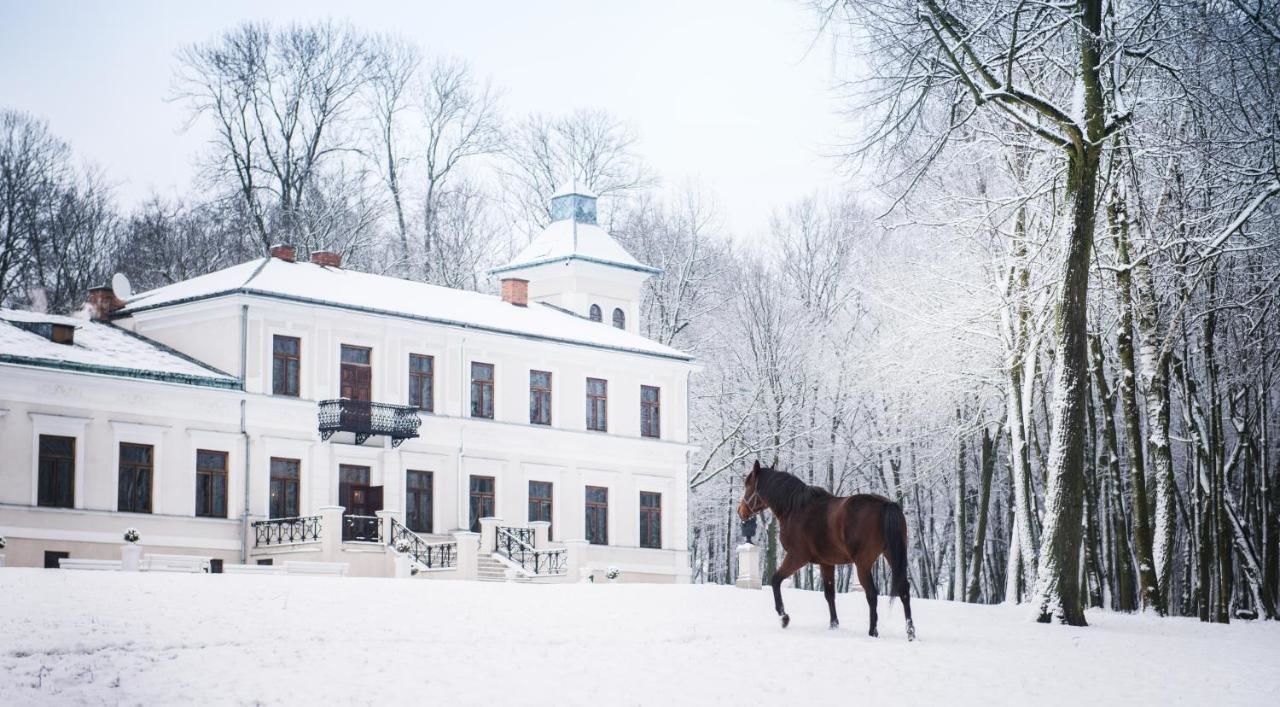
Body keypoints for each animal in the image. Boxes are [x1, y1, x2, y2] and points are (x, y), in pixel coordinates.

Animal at [737, 461, 916, 637]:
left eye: (748, 485)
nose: (741, 511)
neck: (794, 508)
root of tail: (885, 504)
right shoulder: (826, 563)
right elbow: (829, 594)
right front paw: (834, 625)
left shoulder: (797, 557)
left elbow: (775, 580)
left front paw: (784, 617)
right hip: (892, 555)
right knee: (904, 590)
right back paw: (910, 632)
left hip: (863, 564)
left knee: (872, 594)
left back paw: (873, 631)